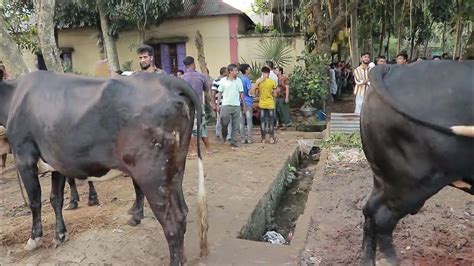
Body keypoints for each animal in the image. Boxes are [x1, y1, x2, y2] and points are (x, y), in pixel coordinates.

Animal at [0, 71, 207, 264]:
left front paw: (34, 239)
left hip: (152, 174)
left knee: (173, 221)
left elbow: (35, 201)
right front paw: (60, 234)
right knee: (183, 211)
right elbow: (55, 198)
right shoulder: (55, 161)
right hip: (174, 170)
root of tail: (170, 80)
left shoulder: (24, 157)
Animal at [362, 60, 472, 264]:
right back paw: (392, 261)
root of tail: (390, 67)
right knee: (382, 218)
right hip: (412, 184)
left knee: (369, 211)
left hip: (384, 177)